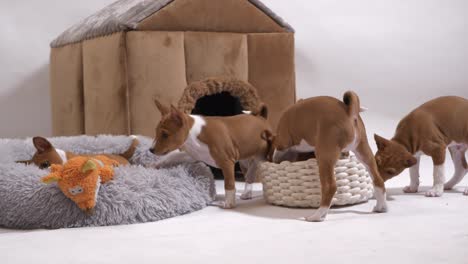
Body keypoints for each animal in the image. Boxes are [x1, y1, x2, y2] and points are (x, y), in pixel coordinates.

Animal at [270, 92, 388, 222]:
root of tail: (348, 111)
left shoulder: (282, 142)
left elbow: (278, 148)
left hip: (324, 157)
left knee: (330, 187)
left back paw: (317, 216)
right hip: (364, 151)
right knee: (378, 181)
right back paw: (381, 207)